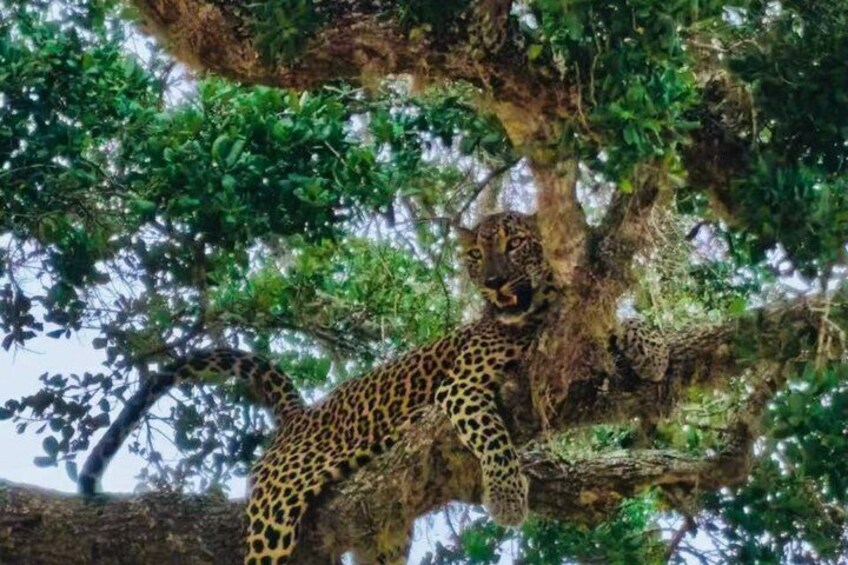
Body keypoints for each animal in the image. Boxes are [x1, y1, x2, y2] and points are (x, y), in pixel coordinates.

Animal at [78, 211, 559, 564]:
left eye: (514, 245)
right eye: (476, 255)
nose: (493, 281)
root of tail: (299, 414)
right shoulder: (458, 388)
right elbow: (492, 436)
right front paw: (508, 496)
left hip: (383, 540)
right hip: (275, 510)